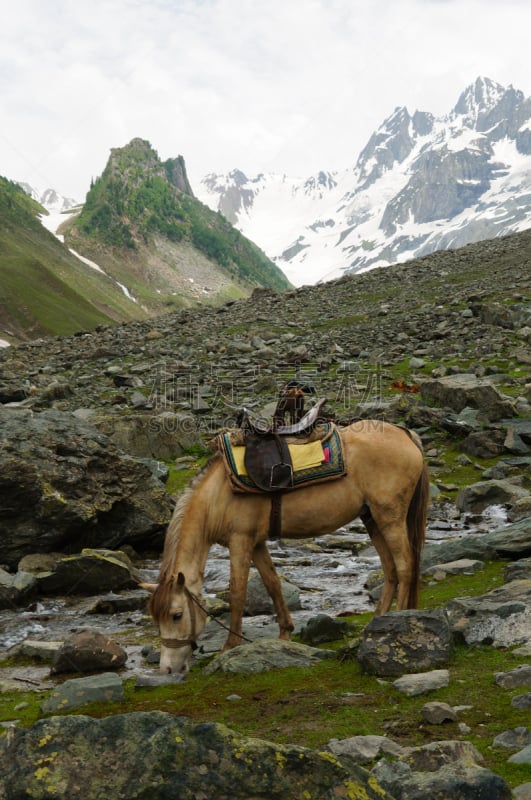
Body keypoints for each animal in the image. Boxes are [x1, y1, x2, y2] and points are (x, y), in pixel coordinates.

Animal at [142, 418, 432, 676]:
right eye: (157, 619)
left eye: (177, 615)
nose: (168, 669)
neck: (217, 496)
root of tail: (405, 435)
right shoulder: (257, 543)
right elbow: (272, 583)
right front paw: (285, 633)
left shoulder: (240, 540)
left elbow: (237, 592)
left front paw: (229, 646)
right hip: (371, 517)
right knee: (390, 569)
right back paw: (375, 622)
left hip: (389, 516)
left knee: (405, 566)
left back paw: (397, 618)